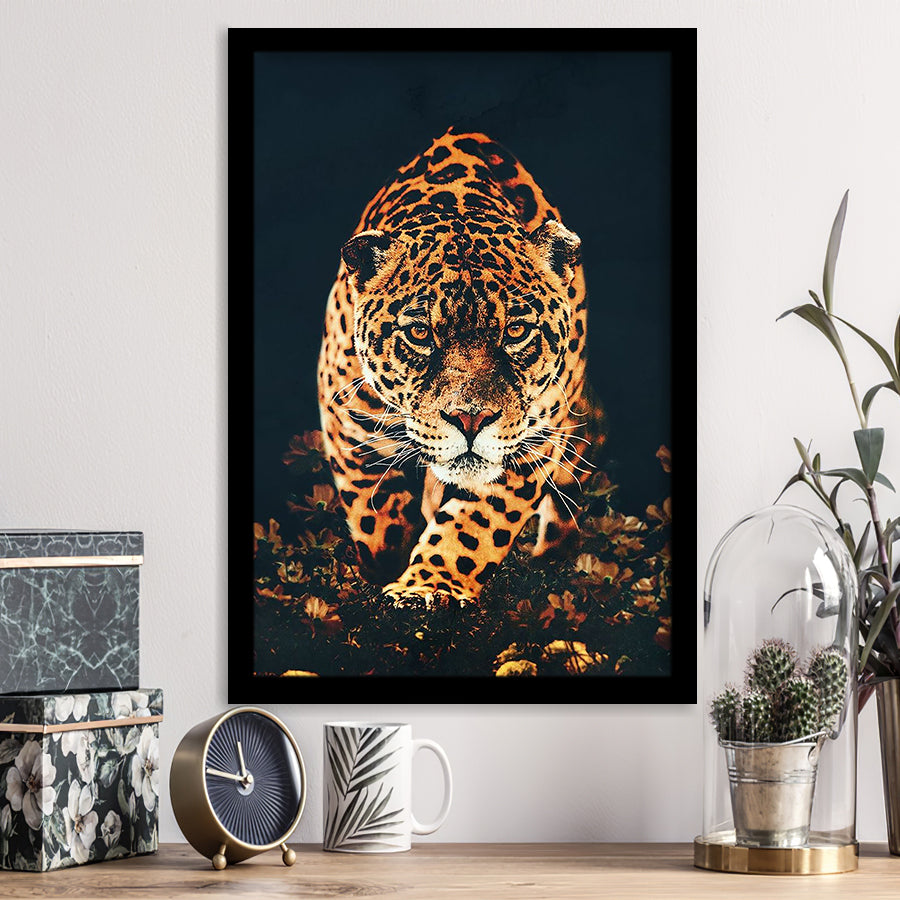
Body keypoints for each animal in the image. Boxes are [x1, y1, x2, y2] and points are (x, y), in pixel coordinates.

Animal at [316, 128, 603, 607]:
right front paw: (386, 566)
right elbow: (376, 511)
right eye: (419, 333)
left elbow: (475, 526)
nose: (471, 419)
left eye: (516, 330)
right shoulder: (348, 418)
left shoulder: (532, 441)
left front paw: (428, 585)